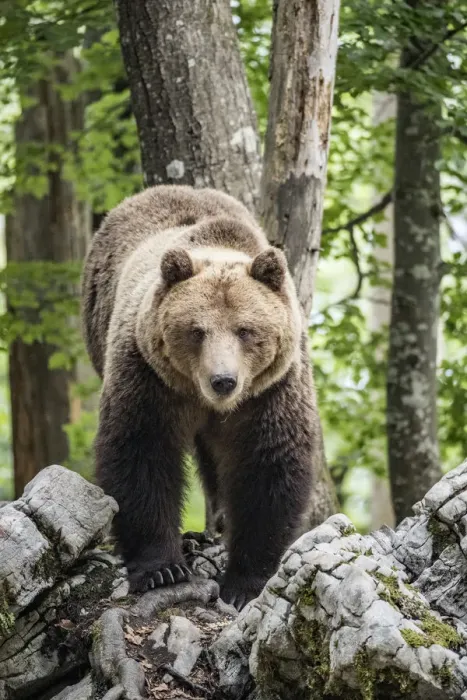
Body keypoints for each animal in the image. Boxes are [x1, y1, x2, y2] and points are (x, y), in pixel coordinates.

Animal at [82, 184, 318, 610]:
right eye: (196, 330)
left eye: (245, 330)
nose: (223, 380)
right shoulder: (148, 377)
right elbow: (142, 451)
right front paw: (162, 568)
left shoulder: (270, 392)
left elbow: (268, 465)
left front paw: (245, 583)